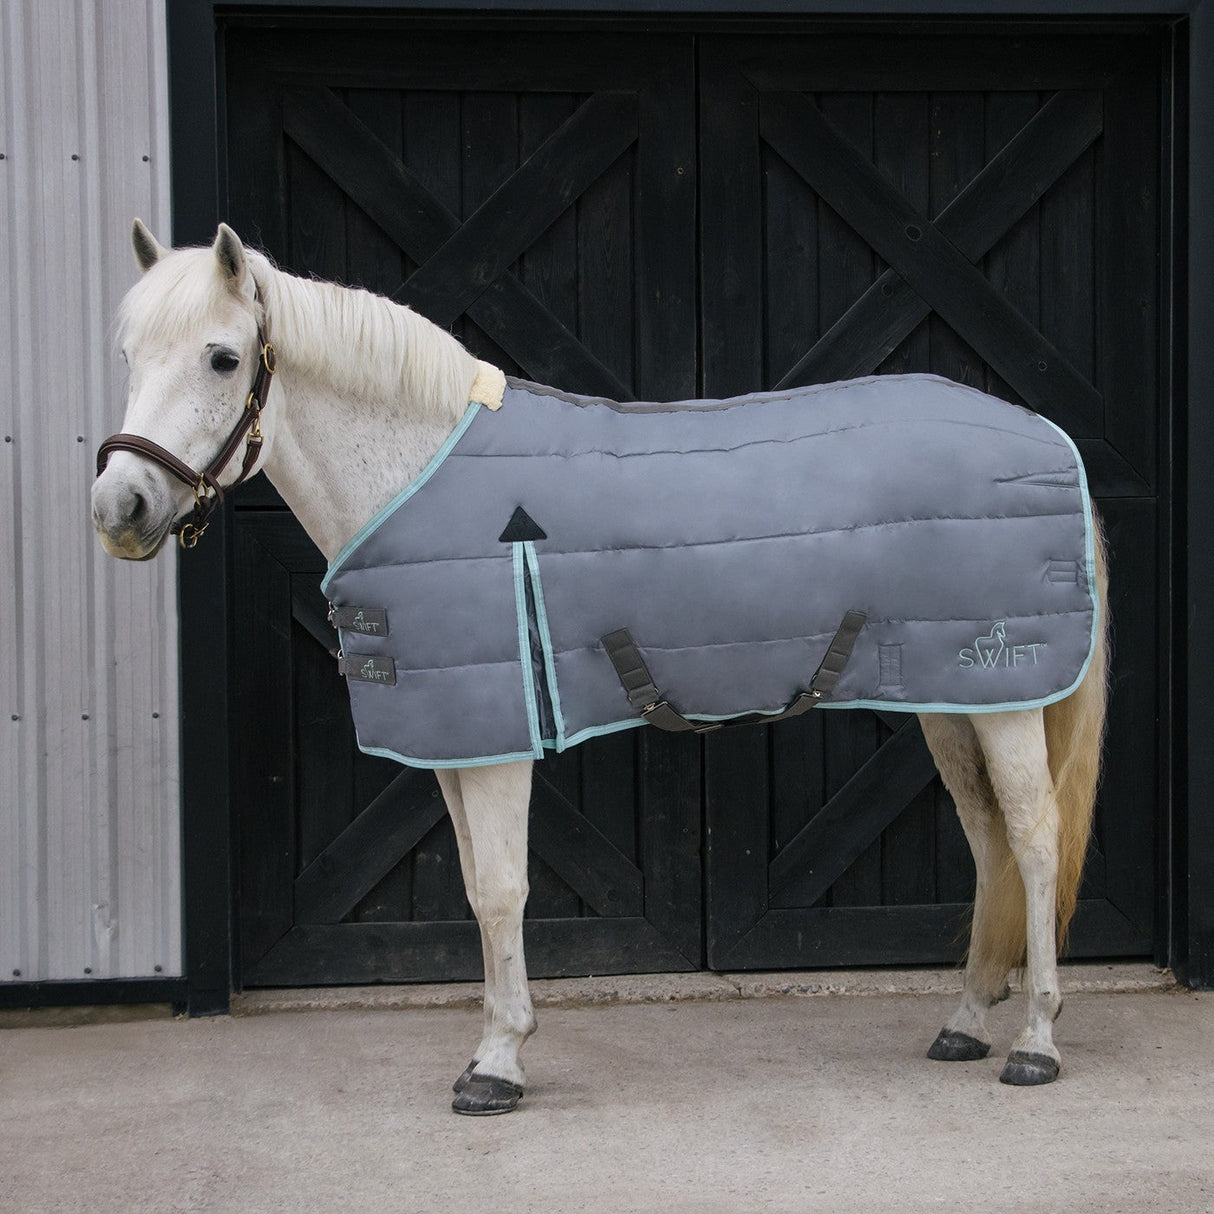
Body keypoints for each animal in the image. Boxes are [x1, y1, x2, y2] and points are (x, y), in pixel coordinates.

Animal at [92, 221, 1109, 1116]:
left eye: (224, 358)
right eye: (128, 353)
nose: (118, 508)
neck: (416, 472)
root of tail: (1050, 436)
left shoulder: (497, 747)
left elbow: (503, 892)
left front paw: (497, 1067)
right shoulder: (457, 741)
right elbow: (475, 889)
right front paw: (493, 1045)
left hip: (1005, 694)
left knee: (1034, 841)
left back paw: (1035, 1044)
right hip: (954, 700)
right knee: (988, 847)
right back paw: (965, 1022)